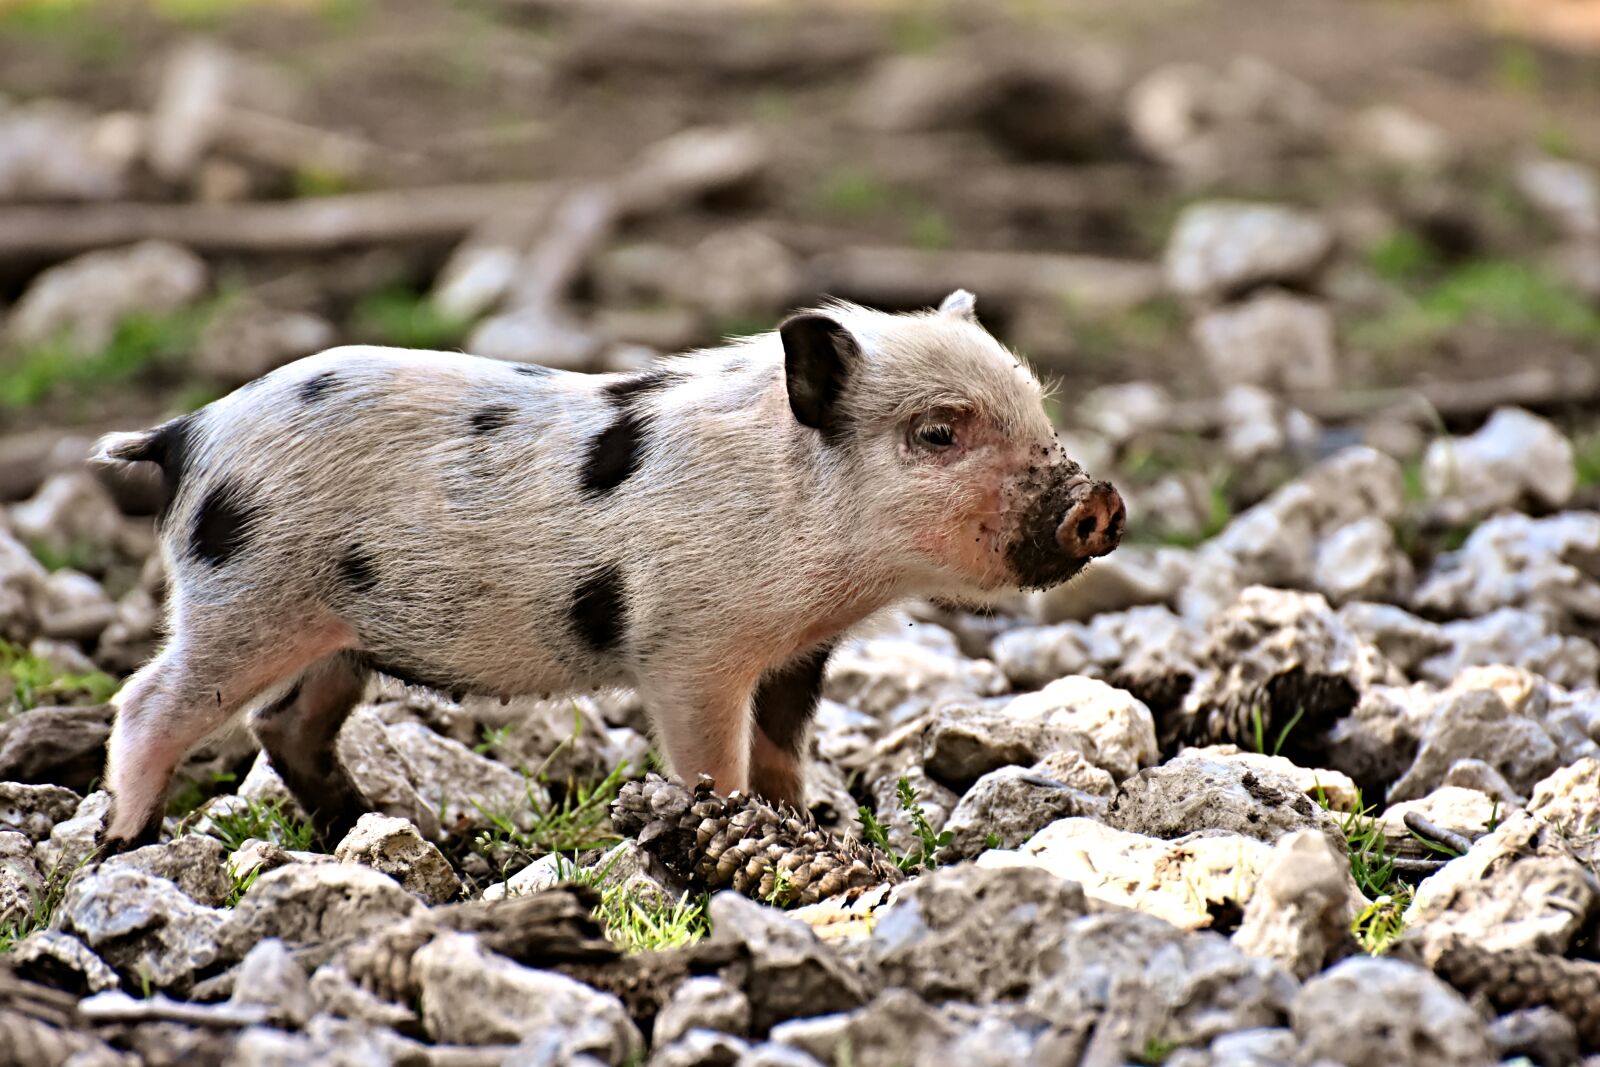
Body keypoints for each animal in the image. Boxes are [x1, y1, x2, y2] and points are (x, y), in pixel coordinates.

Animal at [91, 290, 1123, 850]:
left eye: (1037, 406)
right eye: (938, 432)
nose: (1099, 500)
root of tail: (187, 433)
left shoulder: (800, 652)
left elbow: (784, 749)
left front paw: (804, 824)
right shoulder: (689, 648)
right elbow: (714, 758)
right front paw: (728, 825)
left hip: (339, 637)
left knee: (284, 725)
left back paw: (379, 826)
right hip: (242, 601)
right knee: (147, 701)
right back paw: (126, 842)